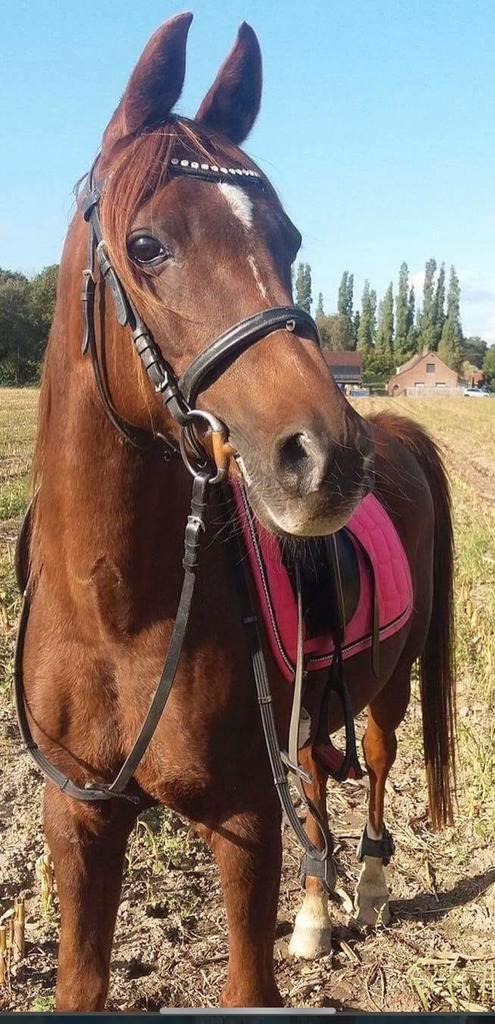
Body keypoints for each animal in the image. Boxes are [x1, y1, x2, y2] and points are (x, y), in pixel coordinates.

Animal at [17, 13, 456, 1010]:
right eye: (146, 245)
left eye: (287, 238)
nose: (329, 457)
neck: (116, 612)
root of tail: (397, 430)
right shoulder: (79, 822)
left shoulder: (244, 826)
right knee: (323, 775)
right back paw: (316, 910)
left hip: (391, 683)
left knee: (375, 761)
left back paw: (367, 884)